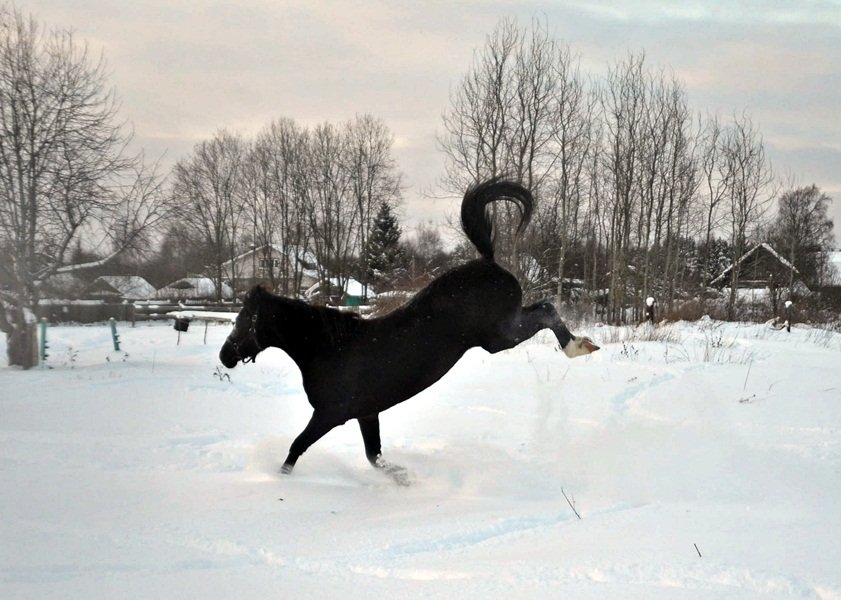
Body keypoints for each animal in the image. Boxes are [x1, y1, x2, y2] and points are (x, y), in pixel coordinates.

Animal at [219, 179, 599, 476]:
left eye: (241, 321)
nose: (225, 356)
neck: (327, 349)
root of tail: (489, 262)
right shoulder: (366, 413)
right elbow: (374, 456)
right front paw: (403, 479)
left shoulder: (329, 415)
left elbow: (297, 447)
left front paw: (280, 480)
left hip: (499, 336)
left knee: (546, 311)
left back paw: (578, 346)